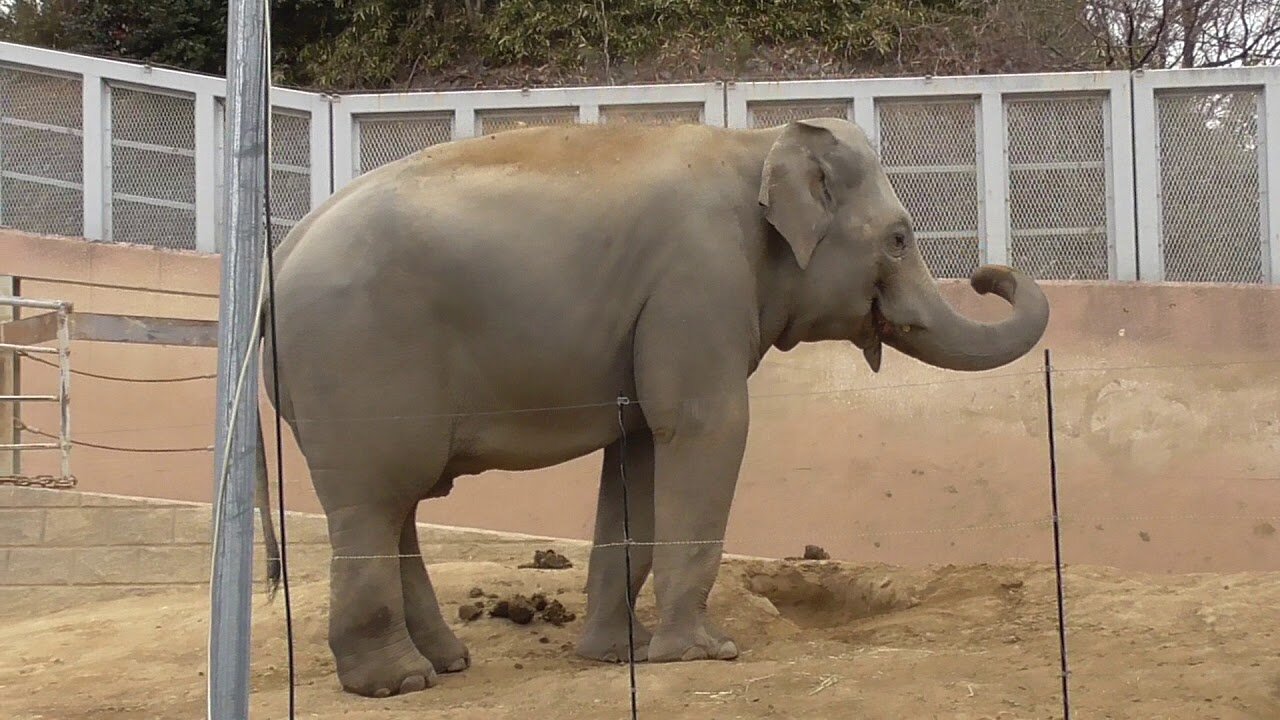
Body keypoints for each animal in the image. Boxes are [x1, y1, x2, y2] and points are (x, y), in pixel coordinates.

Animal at [249, 116, 1049, 696]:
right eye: (900, 238)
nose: (989, 274)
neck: (755, 142)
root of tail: (277, 257)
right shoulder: (699, 277)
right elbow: (703, 427)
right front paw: (705, 654)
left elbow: (636, 454)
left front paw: (616, 656)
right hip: (356, 361)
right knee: (375, 501)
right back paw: (396, 684)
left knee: (399, 506)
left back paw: (446, 664)